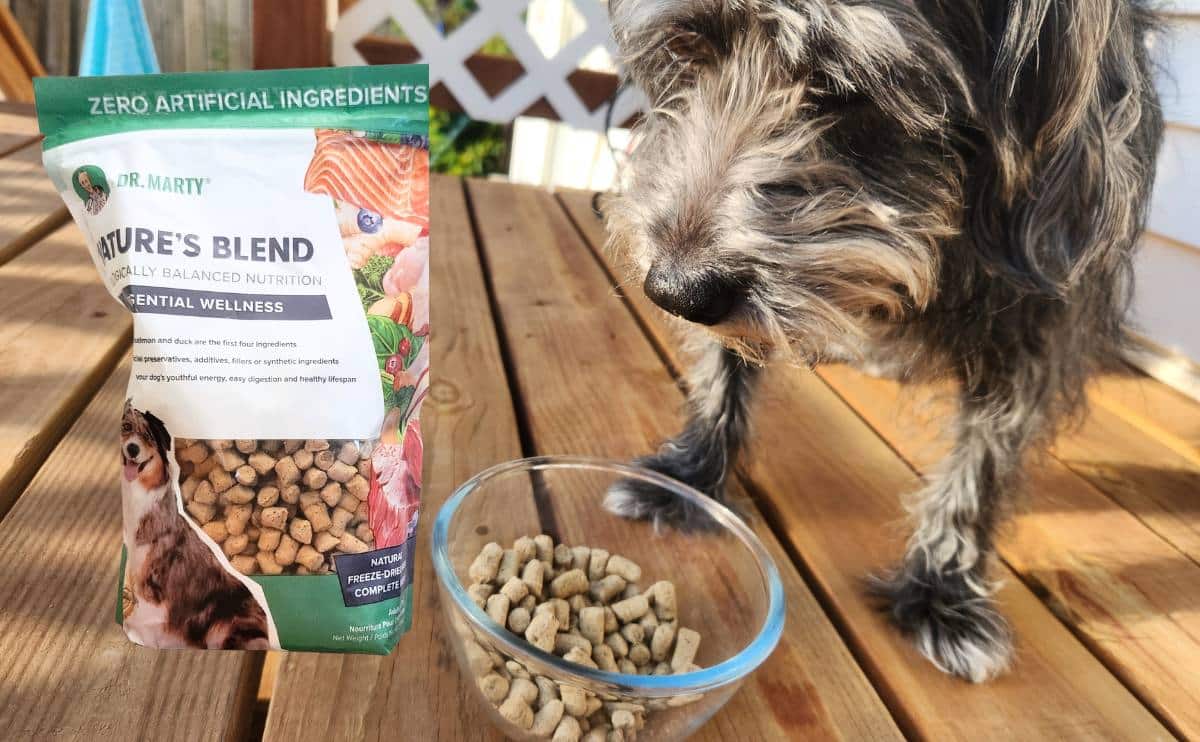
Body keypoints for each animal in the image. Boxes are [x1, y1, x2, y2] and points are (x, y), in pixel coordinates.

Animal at [604, 1, 1166, 681]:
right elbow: (723, 368)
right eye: (684, 48)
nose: (675, 290)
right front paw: (688, 476)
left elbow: (986, 455)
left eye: (849, 88)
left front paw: (943, 592)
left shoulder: (1041, 297)